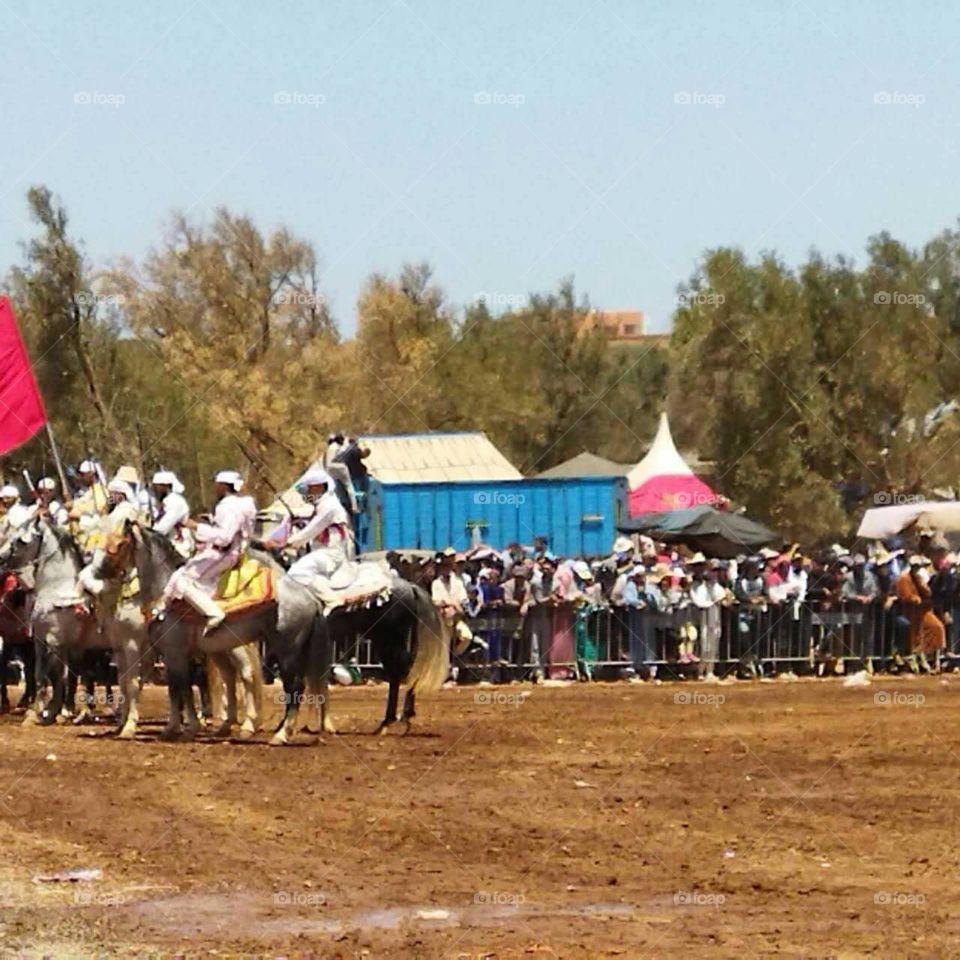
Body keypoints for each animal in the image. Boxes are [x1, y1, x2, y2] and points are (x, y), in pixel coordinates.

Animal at [117, 524, 328, 744]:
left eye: (122, 543)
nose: (119, 574)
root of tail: (310, 597)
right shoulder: (174, 655)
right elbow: (179, 690)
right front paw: (178, 727)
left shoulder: (176, 653)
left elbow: (181, 688)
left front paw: (183, 728)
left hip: (286, 651)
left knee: (293, 687)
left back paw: (280, 735)